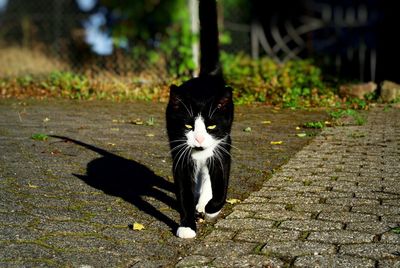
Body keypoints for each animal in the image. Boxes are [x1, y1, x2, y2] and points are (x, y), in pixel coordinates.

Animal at [166, 0, 234, 239]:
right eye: (187, 125)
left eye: (211, 125)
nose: (199, 140)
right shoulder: (180, 157)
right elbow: (184, 192)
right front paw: (187, 225)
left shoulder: (221, 150)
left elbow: (221, 186)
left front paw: (212, 207)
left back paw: (204, 202)